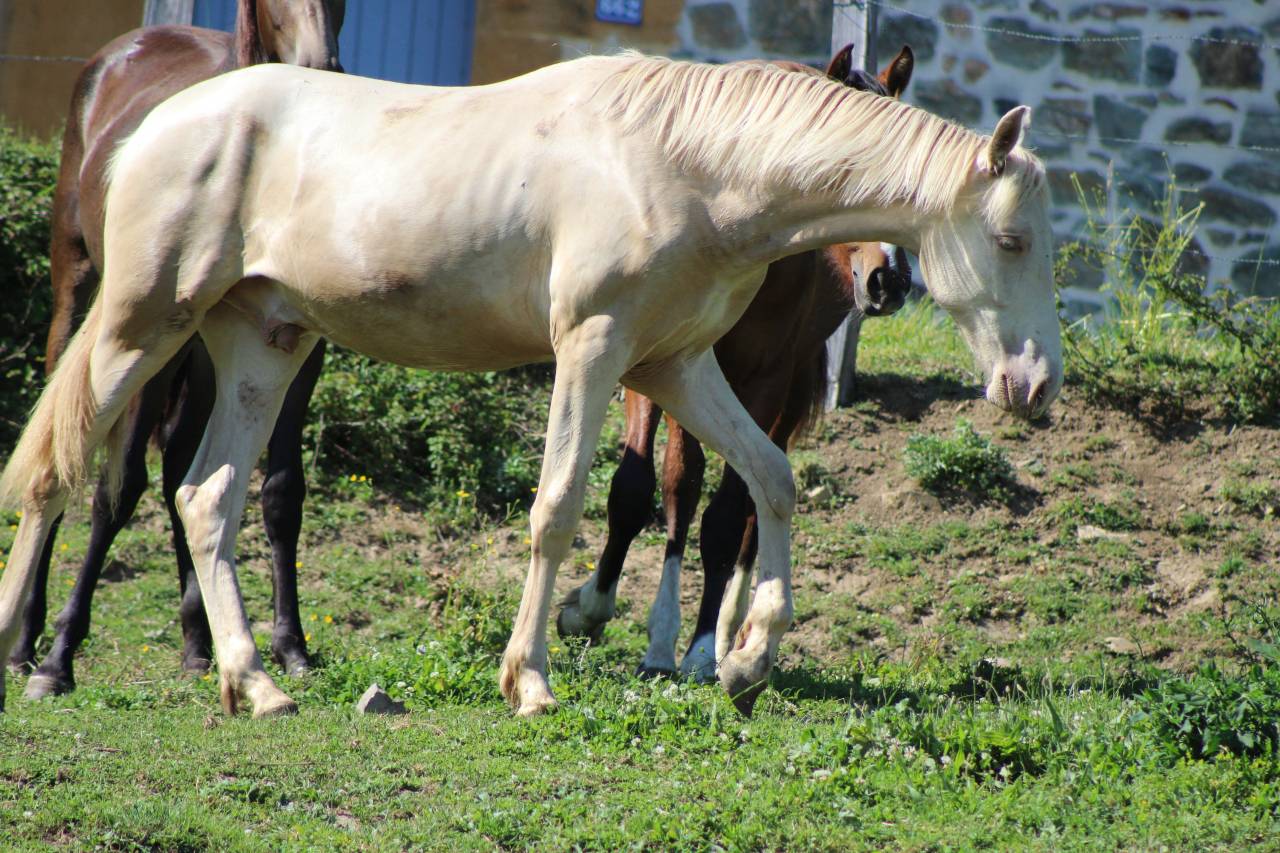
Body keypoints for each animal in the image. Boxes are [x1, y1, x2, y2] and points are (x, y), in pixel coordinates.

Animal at [10, 0, 344, 701]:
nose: (320, 65)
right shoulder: (160, 356)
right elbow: (116, 491)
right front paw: (58, 659)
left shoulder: (301, 352)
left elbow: (279, 490)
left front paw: (290, 646)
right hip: (91, 300)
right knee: (66, 451)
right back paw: (25, 644)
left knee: (181, 471)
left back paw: (197, 642)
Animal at [556, 47, 916, 680]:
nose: (890, 280)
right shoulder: (654, 368)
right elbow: (639, 488)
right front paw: (593, 611)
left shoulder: (764, 383)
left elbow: (726, 515)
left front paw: (700, 648)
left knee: (749, 503)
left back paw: (730, 632)